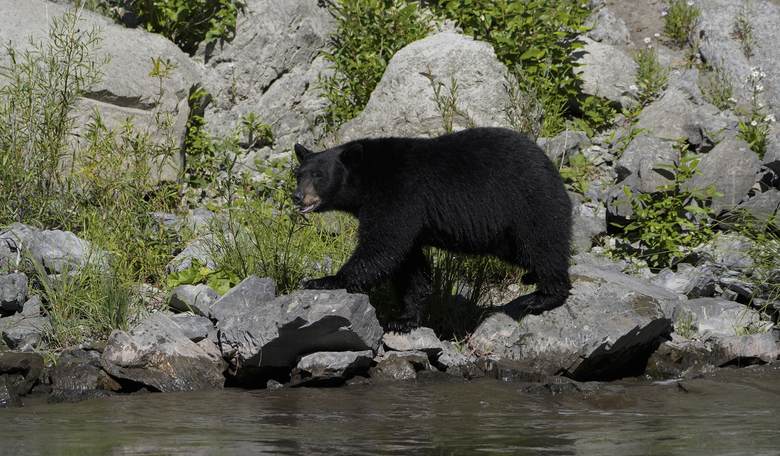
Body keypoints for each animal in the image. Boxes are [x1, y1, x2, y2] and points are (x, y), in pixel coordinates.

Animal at [293, 127, 572, 330]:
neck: (367, 177)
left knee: (543, 245)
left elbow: (382, 246)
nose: (297, 197)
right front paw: (404, 319)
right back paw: (531, 276)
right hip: (505, 234)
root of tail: (550, 165)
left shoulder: (398, 194)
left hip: (528, 203)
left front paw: (324, 280)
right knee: (524, 252)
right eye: (299, 174)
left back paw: (543, 297)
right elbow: (410, 266)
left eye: (318, 175)